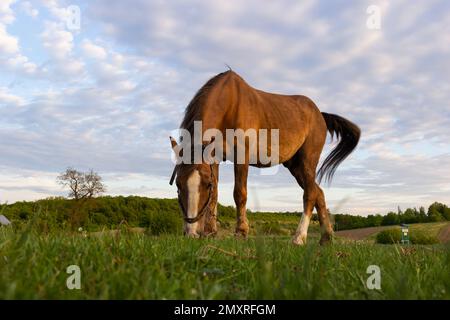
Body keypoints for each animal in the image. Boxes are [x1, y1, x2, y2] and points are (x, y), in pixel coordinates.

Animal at [167, 70, 360, 245]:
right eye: (178, 184)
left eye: (205, 185)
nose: (191, 233)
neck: (230, 104)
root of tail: (320, 115)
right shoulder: (214, 158)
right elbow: (215, 195)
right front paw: (210, 232)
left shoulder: (242, 156)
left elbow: (239, 193)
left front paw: (241, 232)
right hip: (294, 166)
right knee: (318, 193)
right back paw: (326, 238)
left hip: (308, 161)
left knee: (310, 194)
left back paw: (299, 238)